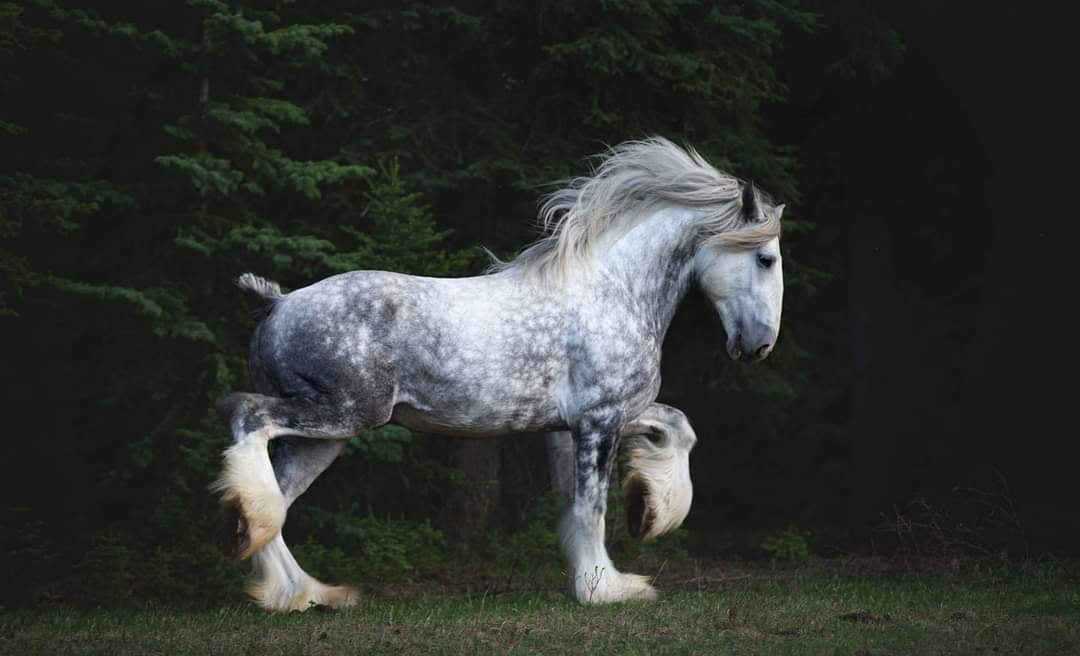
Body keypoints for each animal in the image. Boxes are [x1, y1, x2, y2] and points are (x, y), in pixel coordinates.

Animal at [214, 136, 784, 610]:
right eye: (765, 258)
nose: (758, 345)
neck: (615, 290)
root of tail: (277, 303)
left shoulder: (584, 423)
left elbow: (671, 431)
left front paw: (648, 515)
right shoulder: (599, 421)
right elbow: (591, 508)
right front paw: (607, 588)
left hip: (324, 437)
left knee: (282, 497)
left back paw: (301, 592)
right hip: (342, 413)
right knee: (246, 418)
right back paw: (266, 546)